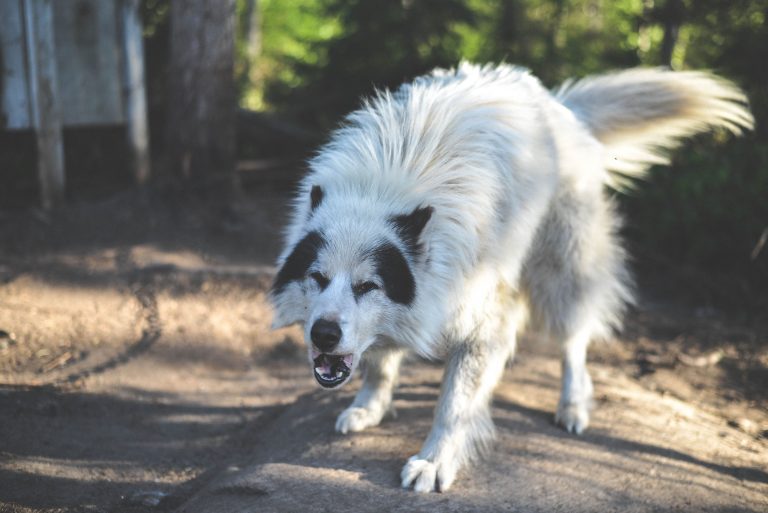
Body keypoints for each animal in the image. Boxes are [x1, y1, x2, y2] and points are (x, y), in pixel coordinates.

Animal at [268, 63, 752, 492]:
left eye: (368, 286)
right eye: (317, 277)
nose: (324, 334)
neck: (386, 187)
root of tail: (558, 105)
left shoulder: (481, 326)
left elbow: (453, 405)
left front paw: (433, 462)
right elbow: (380, 363)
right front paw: (369, 408)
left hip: (560, 275)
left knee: (574, 341)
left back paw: (572, 406)